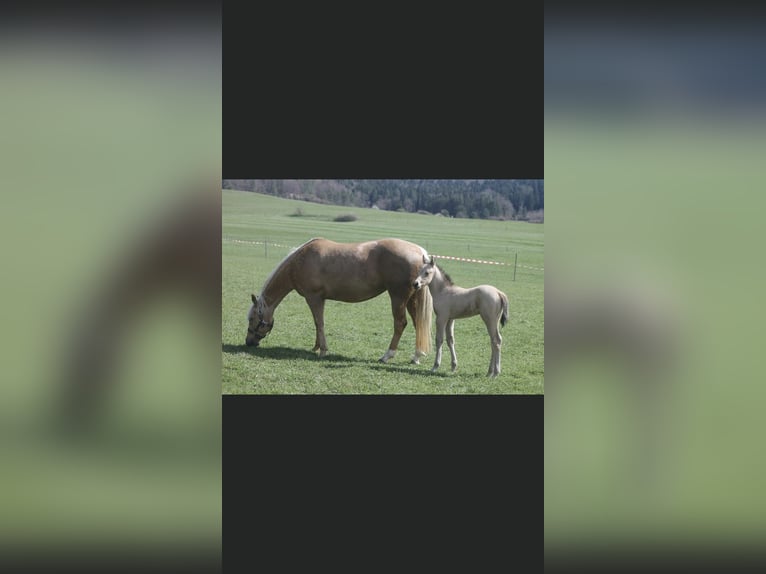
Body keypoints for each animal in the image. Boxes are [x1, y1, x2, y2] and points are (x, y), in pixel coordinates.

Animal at [249, 238, 436, 364]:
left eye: (252, 319)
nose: (249, 342)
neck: (300, 261)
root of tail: (419, 252)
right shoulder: (319, 299)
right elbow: (317, 323)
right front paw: (316, 346)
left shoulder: (313, 298)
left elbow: (319, 322)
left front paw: (323, 350)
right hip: (412, 299)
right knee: (417, 324)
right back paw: (416, 356)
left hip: (398, 298)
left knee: (400, 324)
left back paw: (386, 356)